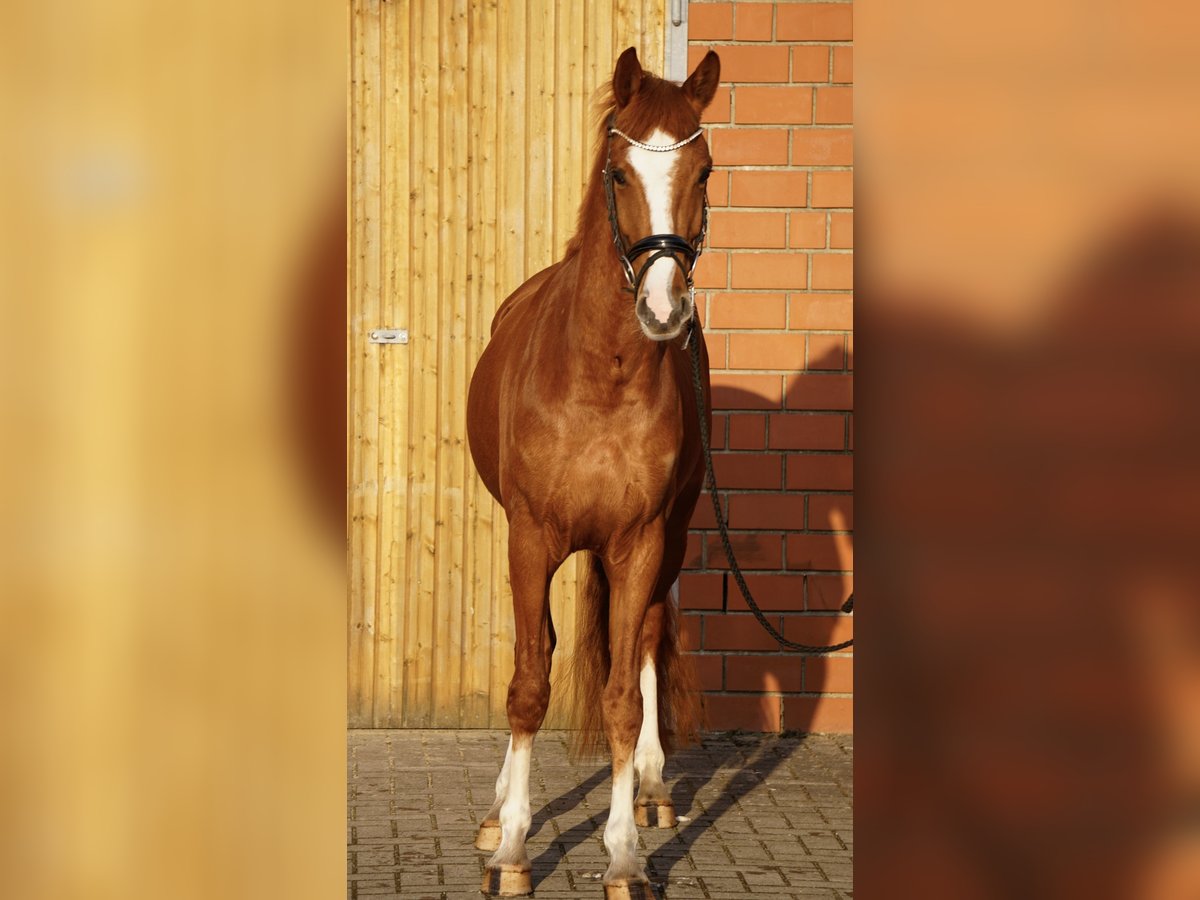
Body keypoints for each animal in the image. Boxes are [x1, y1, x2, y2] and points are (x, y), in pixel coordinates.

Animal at [466, 47, 721, 898]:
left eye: (704, 170)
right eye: (618, 172)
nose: (665, 310)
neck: (599, 378)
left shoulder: (639, 541)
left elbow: (619, 695)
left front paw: (622, 855)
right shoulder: (530, 536)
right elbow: (527, 684)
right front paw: (513, 847)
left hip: (667, 538)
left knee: (641, 646)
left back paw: (649, 787)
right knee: (538, 654)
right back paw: (496, 813)